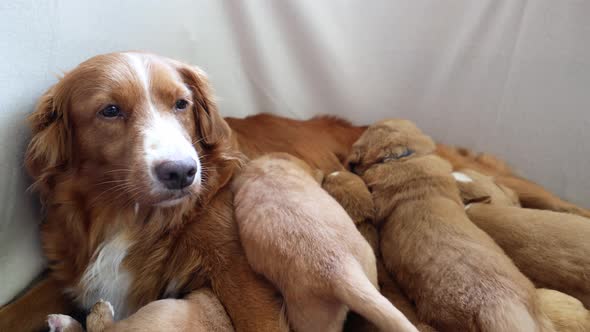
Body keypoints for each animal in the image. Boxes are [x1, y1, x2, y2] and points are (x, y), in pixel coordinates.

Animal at [0, 52, 286, 332]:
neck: (128, 216)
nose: (182, 172)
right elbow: (16, 311)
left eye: (181, 104)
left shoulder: (238, 271)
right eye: (110, 110)